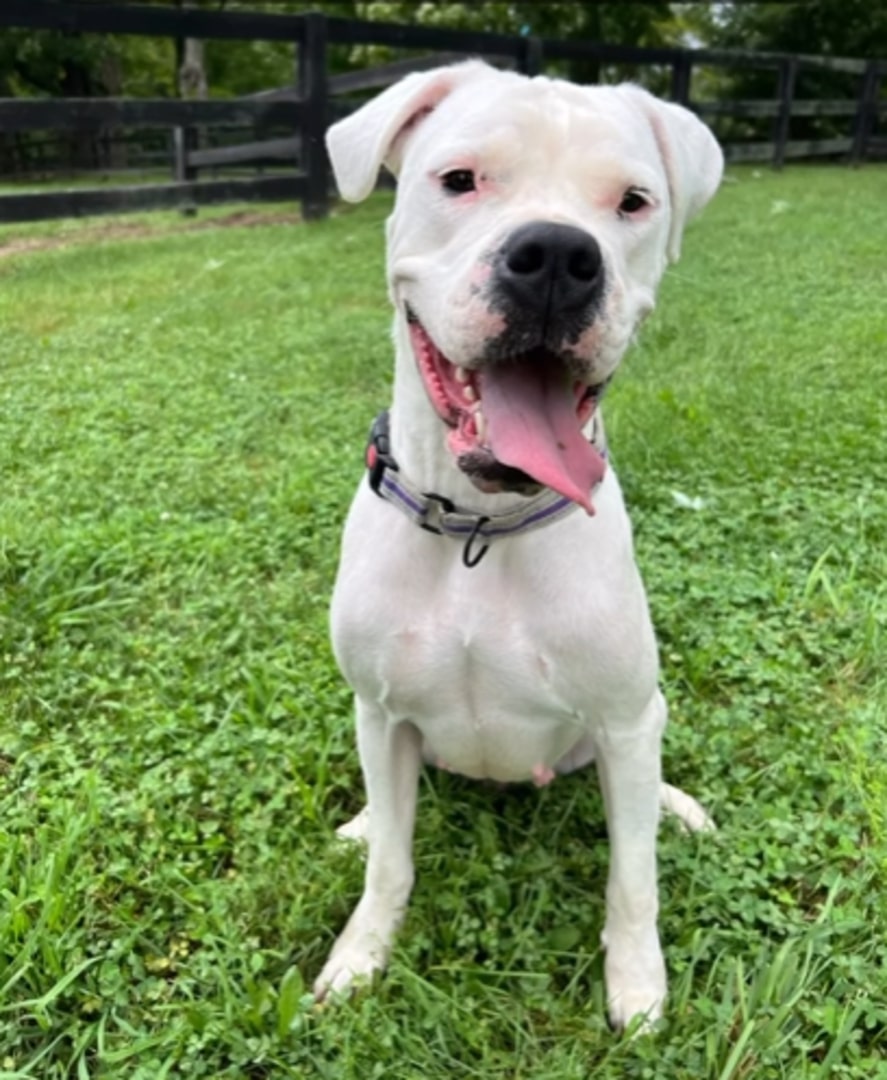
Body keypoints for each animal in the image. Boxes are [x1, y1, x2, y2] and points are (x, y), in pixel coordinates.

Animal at [315, 59, 721, 1028]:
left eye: (633, 202)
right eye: (459, 179)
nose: (557, 259)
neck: (477, 526)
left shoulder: (622, 719)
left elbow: (632, 877)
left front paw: (636, 988)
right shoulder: (380, 710)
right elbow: (392, 862)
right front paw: (360, 957)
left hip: (631, 727)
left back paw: (677, 806)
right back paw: (359, 821)